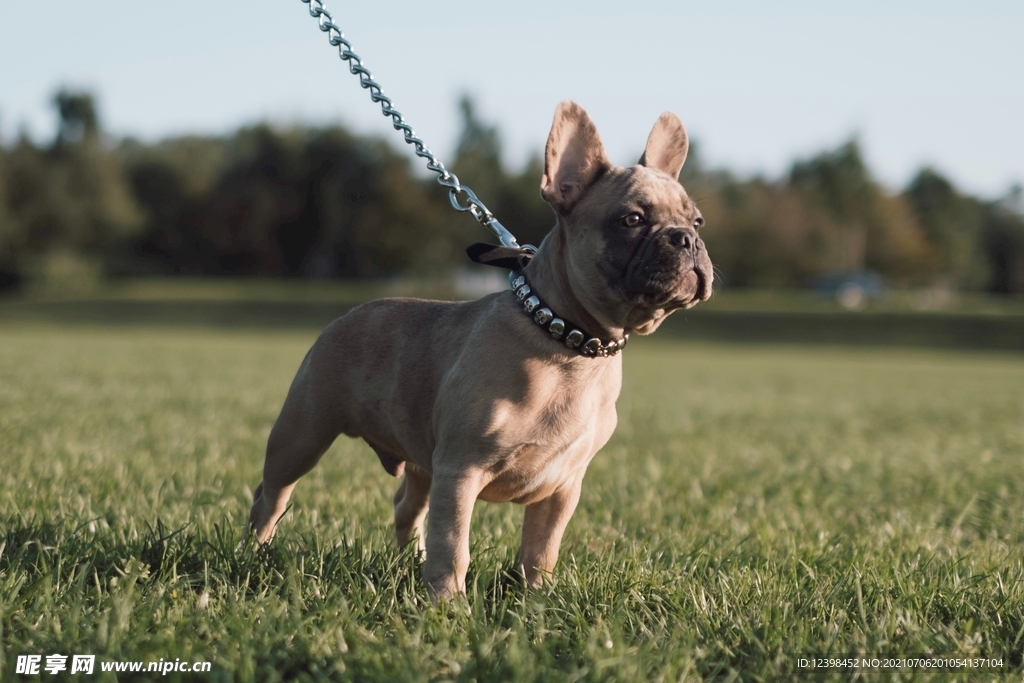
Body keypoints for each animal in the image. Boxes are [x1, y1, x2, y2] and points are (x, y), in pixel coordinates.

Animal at [247, 100, 712, 598]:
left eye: (697, 221)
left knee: (407, 507)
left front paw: (537, 600)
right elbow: (454, 547)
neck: (568, 341)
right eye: (632, 220)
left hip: (421, 463)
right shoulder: (461, 471)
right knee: (270, 496)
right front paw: (450, 604)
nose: (687, 238)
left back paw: (410, 561)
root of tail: (346, 315)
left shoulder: (562, 487)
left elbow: (541, 551)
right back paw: (253, 554)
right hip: (302, 435)